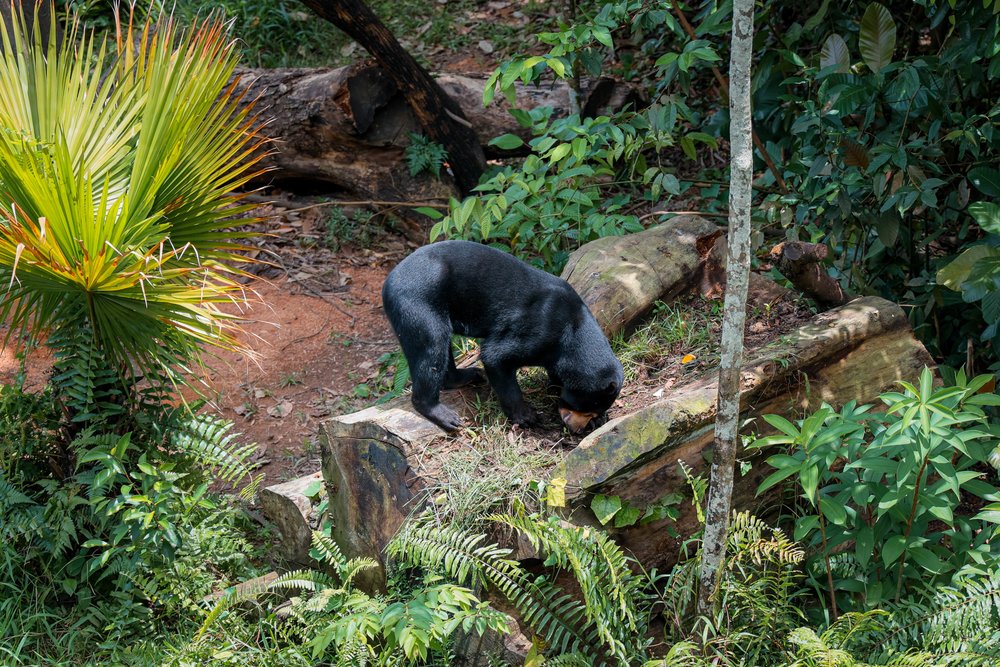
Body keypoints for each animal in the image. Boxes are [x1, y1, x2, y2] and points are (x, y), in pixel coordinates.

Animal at [381, 240, 623, 433]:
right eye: (583, 406)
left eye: (590, 410)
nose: (575, 428)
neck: (573, 332)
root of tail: (389, 280)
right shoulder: (539, 329)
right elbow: (495, 356)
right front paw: (526, 416)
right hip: (418, 303)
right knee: (432, 347)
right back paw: (444, 415)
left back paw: (468, 375)